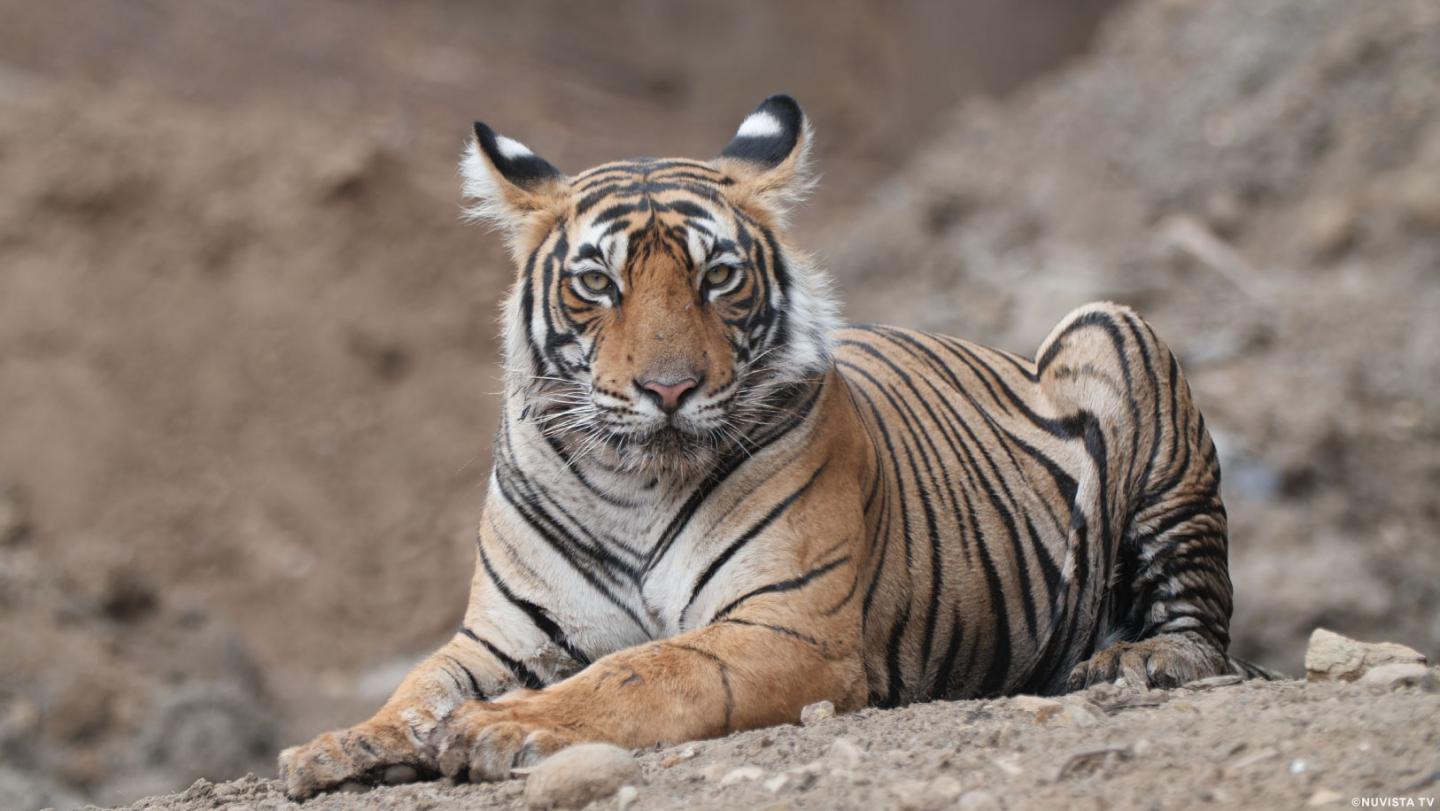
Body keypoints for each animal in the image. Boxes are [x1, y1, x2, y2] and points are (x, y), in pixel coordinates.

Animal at [278, 94, 1267, 798]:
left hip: (1116, 338)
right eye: (597, 284)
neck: (631, 478)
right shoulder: (503, 632)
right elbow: (421, 683)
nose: (668, 390)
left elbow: (644, 670)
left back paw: (1138, 659)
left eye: (718, 277)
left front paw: (499, 726)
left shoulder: (784, 623)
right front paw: (338, 744)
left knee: (1203, 620)